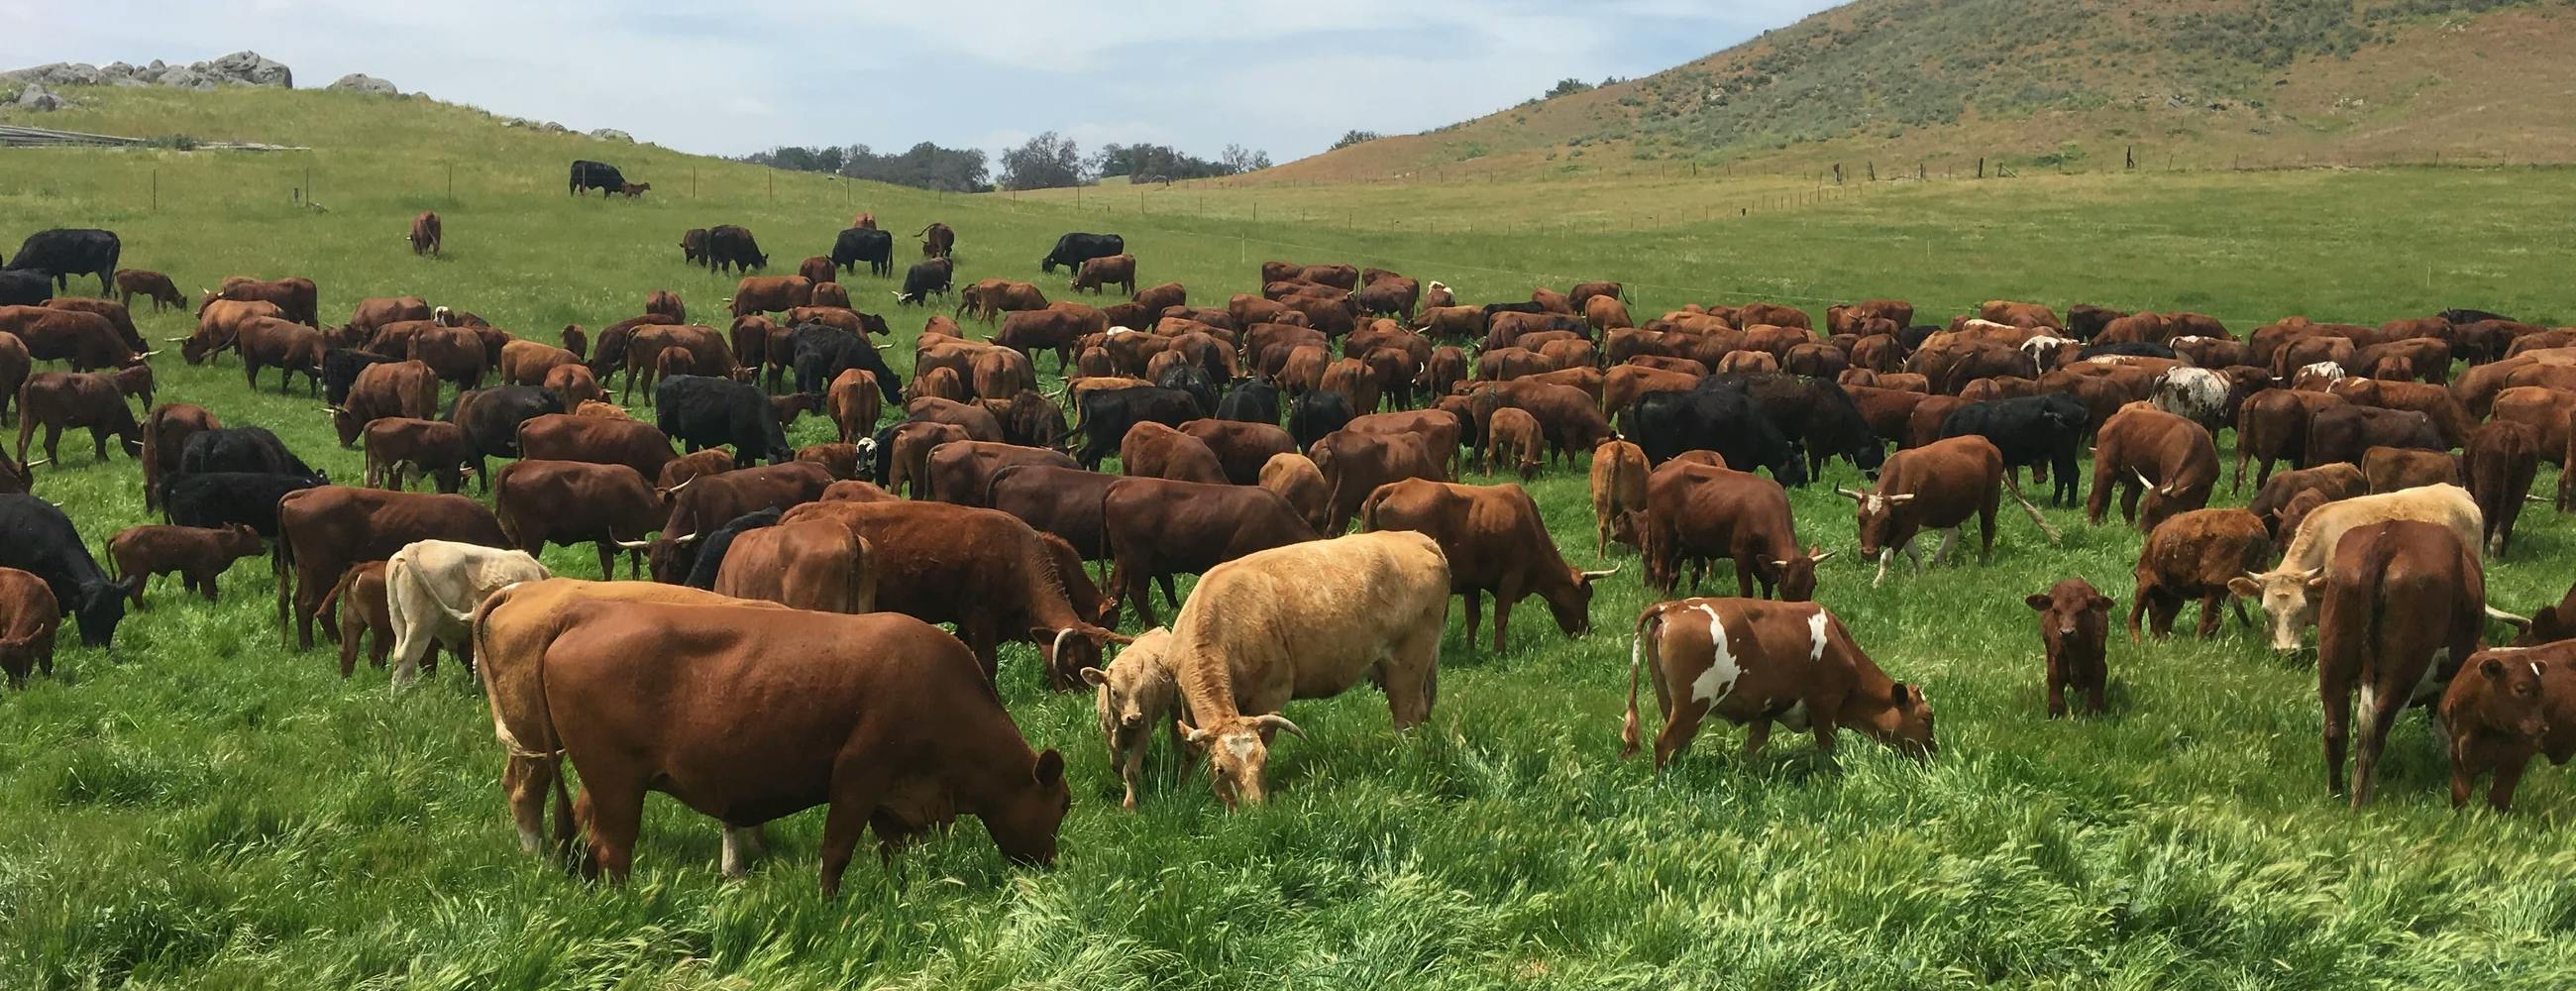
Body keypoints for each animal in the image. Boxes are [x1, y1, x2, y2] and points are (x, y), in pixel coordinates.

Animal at [1166, 531, 1449, 807]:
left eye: (1264, 760)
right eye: (1221, 770)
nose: (1253, 810)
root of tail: (1415, 537)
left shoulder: (1271, 693)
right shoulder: (1185, 700)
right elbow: (1190, 750)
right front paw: (1184, 788)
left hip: (1410, 659)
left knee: (1408, 715)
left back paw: (1404, 759)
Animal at [1622, 597, 1935, 768]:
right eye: (1926, 718)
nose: (1933, 754)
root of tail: (1671, 606)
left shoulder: (1764, 713)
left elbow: (1755, 754)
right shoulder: (1825, 708)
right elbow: (1827, 754)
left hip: (1670, 703)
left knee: (1677, 745)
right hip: (1693, 704)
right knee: (1665, 744)